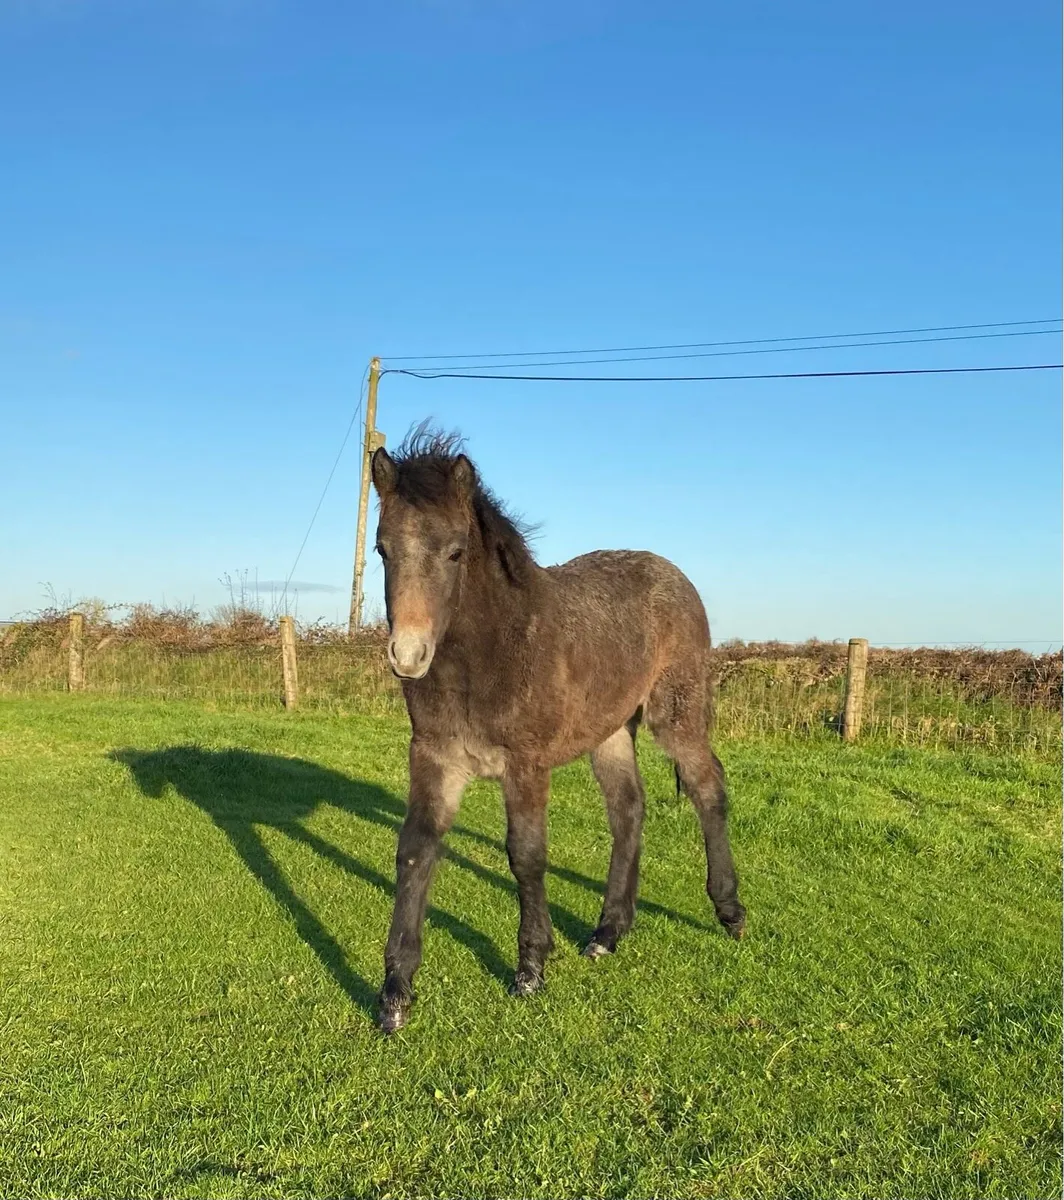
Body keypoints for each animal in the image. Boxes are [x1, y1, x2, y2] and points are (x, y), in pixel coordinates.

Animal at [371, 427, 745, 1032]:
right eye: (382, 549)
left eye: (455, 551)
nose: (408, 655)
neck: (488, 654)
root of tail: (671, 572)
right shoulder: (434, 757)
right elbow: (415, 851)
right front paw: (395, 992)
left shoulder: (526, 764)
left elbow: (525, 854)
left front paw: (530, 968)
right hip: (610, 732)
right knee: (628, 809)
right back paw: (608, 932)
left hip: (676, 714)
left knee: (707, 788)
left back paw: (730, 911)